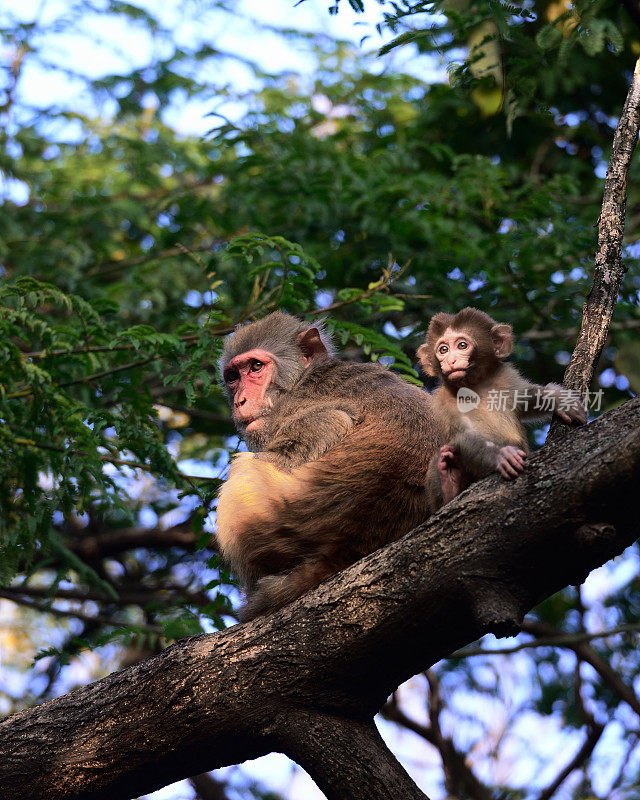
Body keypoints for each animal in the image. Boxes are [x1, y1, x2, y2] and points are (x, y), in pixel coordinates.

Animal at [418, 306, 588, 506]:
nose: (450, 360)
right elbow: (464, 435)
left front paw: (558, 399)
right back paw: (449, 484)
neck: (474, 387)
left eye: (462, 346)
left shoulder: (505, 377)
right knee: (442, 454)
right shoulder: (442, 403)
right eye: (443, 349)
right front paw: (501, 455)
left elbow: (525, 399)